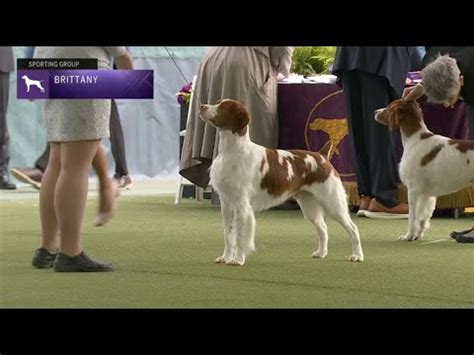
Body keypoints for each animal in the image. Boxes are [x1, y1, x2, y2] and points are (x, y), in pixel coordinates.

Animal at [199, 98, 362, 266]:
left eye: (223, 107)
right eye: (217, 102)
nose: (202, 106)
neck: (232, 152)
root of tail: (321, 156)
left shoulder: (241, 204)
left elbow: (240, 236)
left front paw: (237, 260)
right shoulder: (227, 203)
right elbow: (228, 234)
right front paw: (225, 258)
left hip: (333, 202)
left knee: (353, 228)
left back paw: (357, 256)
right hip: (309, 204)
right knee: (323, 228)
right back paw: (321, 253)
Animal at [376, 85, 472, 242]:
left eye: (389, 107)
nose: (376, 112)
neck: (415, 139)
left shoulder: (413, 189)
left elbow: (412, 216)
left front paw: (408, 235)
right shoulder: (426, 194)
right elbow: (423, 216)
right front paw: (417, 234)